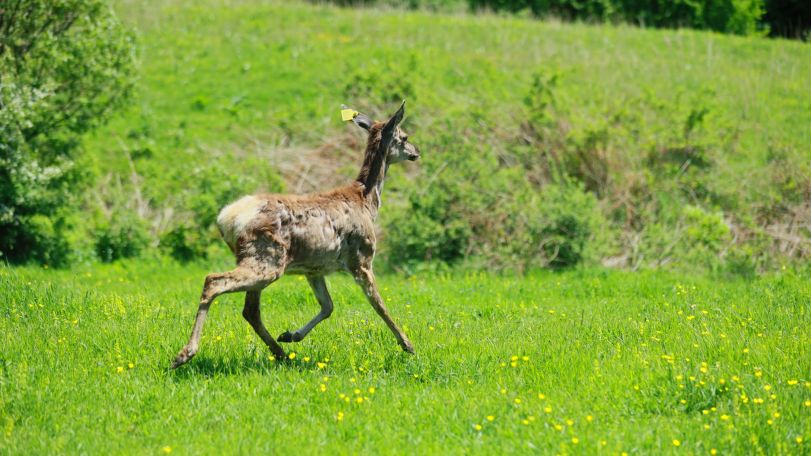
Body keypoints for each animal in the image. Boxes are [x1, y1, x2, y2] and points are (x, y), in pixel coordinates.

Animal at [171, 101, 419, 368]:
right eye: (404, 136)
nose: (416, 151)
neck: (367, 202)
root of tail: (227, 218)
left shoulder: (314, 268)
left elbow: (328, 306)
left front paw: (291, 335)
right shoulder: (361, 258)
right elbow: (379, 304)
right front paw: (407, 344)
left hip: (260, 260)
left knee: (250, 310)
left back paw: (280, 352)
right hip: (267, 258)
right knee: (213, 281)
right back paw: (184, 354)